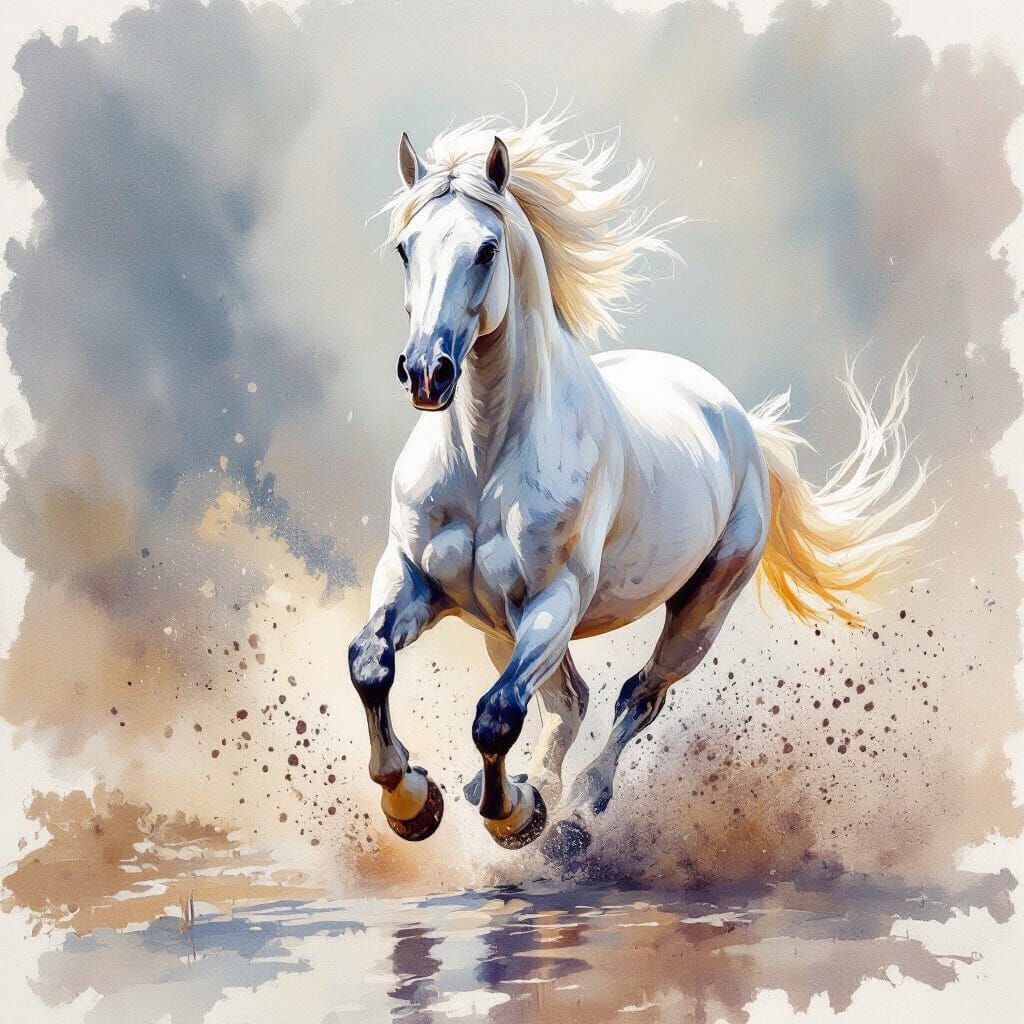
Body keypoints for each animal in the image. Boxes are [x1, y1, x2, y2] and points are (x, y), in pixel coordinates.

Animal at [348, 113, 931, 854]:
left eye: (485, 249)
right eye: (405, 248)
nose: (427, 372)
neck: (486, 463)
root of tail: (740, 424)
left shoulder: (555, 599)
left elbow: (497, 714)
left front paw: (515, 817)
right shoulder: (413, 578)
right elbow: (371, 664)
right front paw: (412, 799)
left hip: (699, 610)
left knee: (637, 696)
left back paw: (573, 813)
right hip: (498, 623)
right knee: (571, 701)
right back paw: (522, 788)